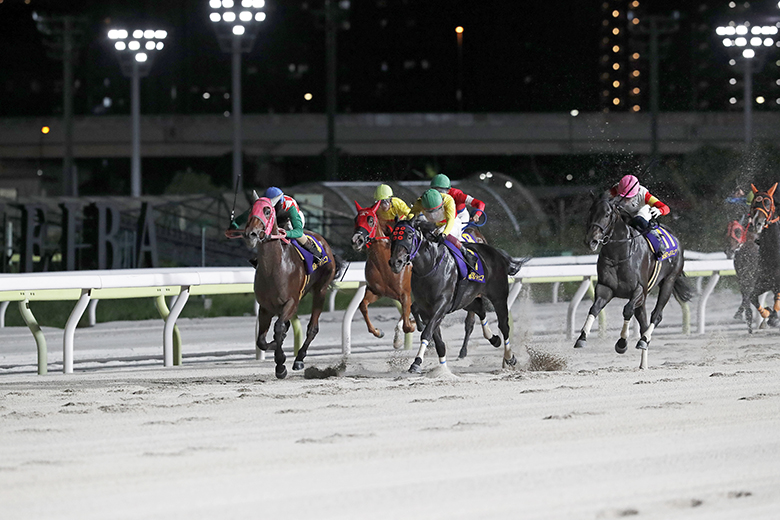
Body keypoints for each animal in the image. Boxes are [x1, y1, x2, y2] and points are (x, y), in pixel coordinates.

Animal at [243, 196, 341, 379]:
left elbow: (279, 328)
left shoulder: (291, 302)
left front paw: (281, 365)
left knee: (312, 328)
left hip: (321, 290)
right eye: (251, 209)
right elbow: (262, 341)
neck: (274, 268)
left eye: (267, 211)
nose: (250, 234)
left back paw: (299, 359)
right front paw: (276, 348)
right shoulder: (265, 307)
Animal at [351, 201, 493, 357]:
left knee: (470, 322)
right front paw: (378, 332)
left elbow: (407, 321)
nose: (356, 240)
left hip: (473, 293)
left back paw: (463, 350)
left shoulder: (406, 294)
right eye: (356, 219)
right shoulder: (376, 291)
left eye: (370, 220)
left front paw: (409, 330)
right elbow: (363, 306)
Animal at [388, 217, 524, 373]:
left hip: (498, 298)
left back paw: (509, 357)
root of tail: (496, 252)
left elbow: (427, 333)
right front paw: (442, 369)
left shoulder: (442, 305)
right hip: (466, 300)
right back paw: (494, 339)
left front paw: (416, 362)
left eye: (409, 236)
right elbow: (437, 340)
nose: (395, 262)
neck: (430, 267)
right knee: (480, 310)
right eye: (392, 237)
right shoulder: (426, 308)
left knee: (503, 326)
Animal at [574, 192, 693, 368]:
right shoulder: (605, 288)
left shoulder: (639, 290)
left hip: (668, 281)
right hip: (643, 299)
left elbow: (627, 310)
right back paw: (643, 362)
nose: (591, 240)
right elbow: (594, 309)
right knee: (643, 323)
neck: (618, 255)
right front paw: (581, 338)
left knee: (656, 316)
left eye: (607, 214)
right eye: (591, 211)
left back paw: (643, 341)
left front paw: (622, 343)